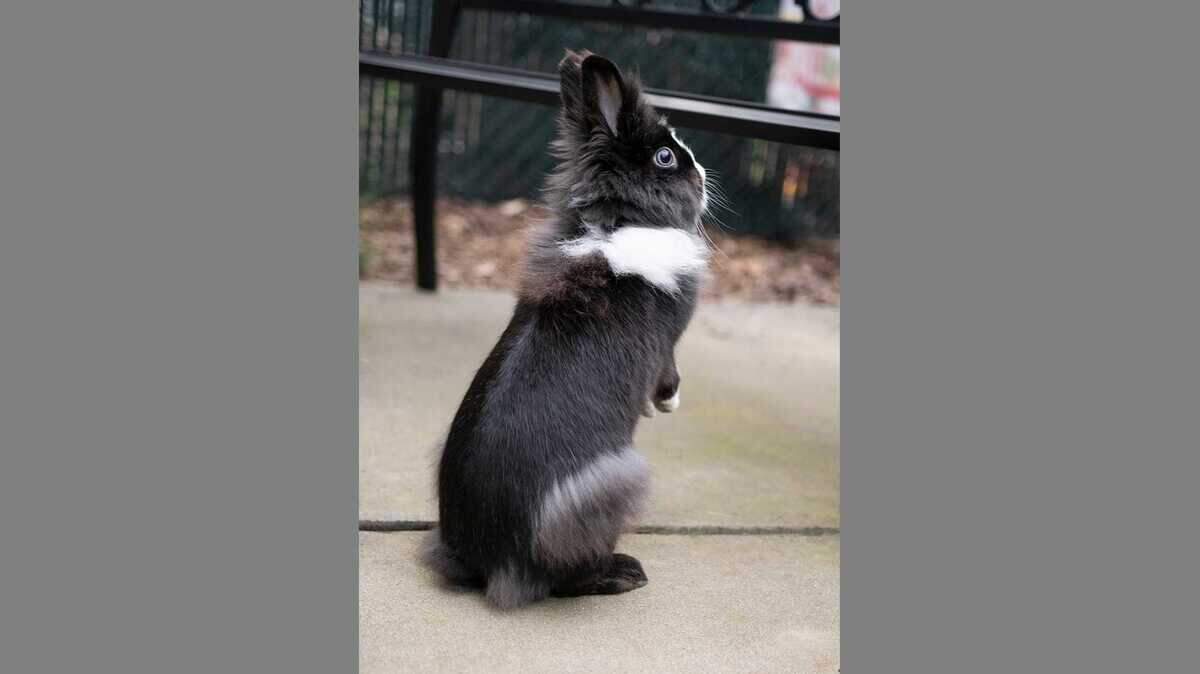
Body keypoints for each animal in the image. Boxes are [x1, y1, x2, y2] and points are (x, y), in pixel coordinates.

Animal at [420, 49, 711, 609]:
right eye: (666, 157)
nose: (703, 171)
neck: (621, 221)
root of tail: (496, 566)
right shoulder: (670, 341)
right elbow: (667, 371)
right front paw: (667, 402)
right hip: (615, 485)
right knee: (568, 578)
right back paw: (623, 573)